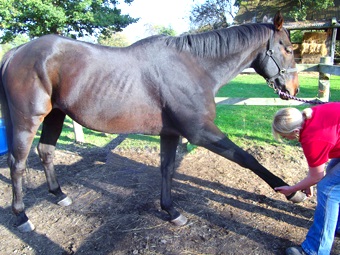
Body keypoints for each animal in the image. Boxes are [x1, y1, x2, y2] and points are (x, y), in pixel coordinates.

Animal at [0, 10, 304, 232]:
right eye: (288, 49)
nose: (294, 89)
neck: (192, 67)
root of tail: (16, 52)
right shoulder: (200, 132)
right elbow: (247, 158)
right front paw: (292, 193)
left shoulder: (170, 133)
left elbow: (166, 169)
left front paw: (171, 210)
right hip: (28, 120)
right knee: (17, 163)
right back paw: (22, 217)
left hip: (55, 115)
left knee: (46, 151)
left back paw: (59, 194)